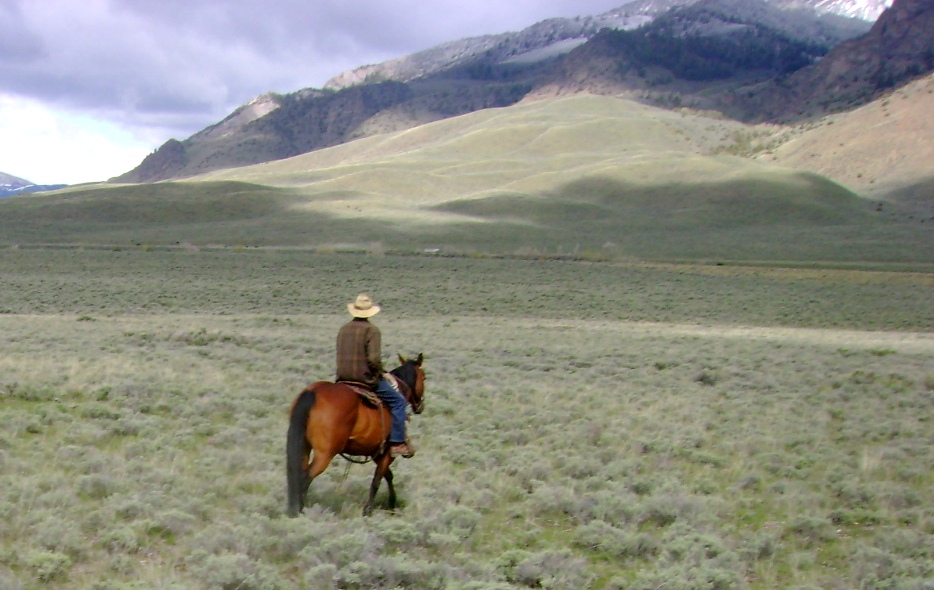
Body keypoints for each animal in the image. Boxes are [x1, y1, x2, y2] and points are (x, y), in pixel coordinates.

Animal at [286, 356, 428, 520]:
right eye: (424, 377)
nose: (420, 406)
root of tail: (312, 393)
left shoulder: (376, 453)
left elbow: (388, 476)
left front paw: (391, 504)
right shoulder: (387, 453)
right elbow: (377, 479)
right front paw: (369, 510)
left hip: (304, 447)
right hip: (324, 454)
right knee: (305, 478)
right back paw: (301, 512)